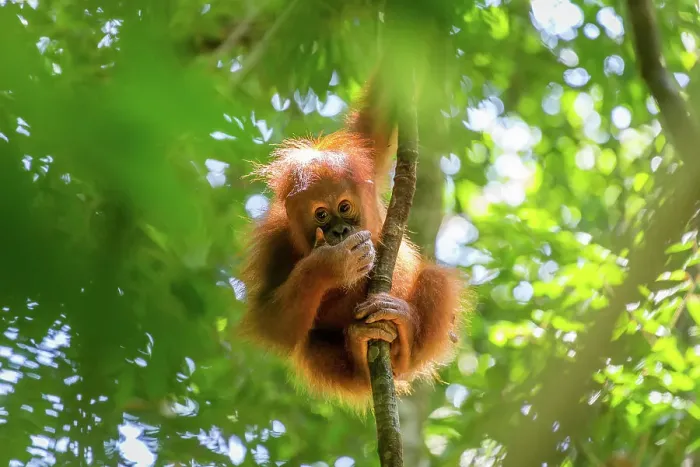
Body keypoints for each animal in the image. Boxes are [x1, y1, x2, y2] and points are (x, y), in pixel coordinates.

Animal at [239, 78, 470, 405]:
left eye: (345, 207)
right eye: (321, 215)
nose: (339, 232)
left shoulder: (366, 159)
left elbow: (380, 113)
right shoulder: (275, 242)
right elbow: (270, 323)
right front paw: (332, 264)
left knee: (436, 280)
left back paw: (404, 335)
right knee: (310, 344)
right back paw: (361, 355)